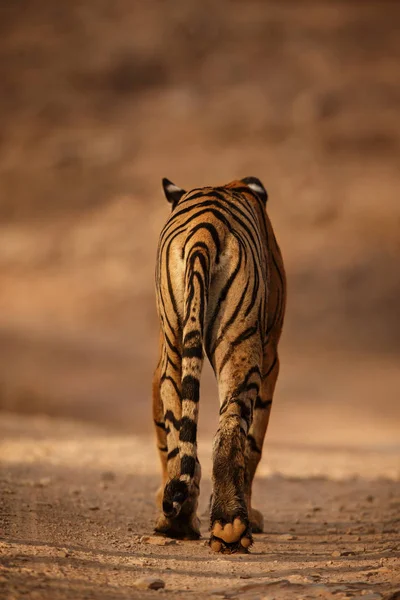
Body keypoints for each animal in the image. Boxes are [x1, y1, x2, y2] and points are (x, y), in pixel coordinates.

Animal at [152, 176, 286, 556]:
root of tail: (204, 227)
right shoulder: (271, 359)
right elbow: (254, 444)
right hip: (242, 347)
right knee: (230, 431)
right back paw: (231, 525)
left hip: (175, 348)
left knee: (179, 435)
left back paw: (180, 522)